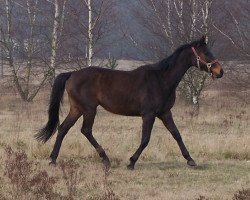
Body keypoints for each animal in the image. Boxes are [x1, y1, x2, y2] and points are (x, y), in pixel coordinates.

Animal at [35, 36, 223, 169]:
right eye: (206, 53)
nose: (220, 71)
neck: (161, 79)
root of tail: (72, 74)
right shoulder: (148, 115)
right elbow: (145, 139)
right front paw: (131, 162)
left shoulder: (164, 113)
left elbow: (176, 134)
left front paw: (190, 160)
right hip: (88, 109)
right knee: (86, 130)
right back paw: (105, 159)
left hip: (76, 109)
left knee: (63, 129)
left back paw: (53, 160)